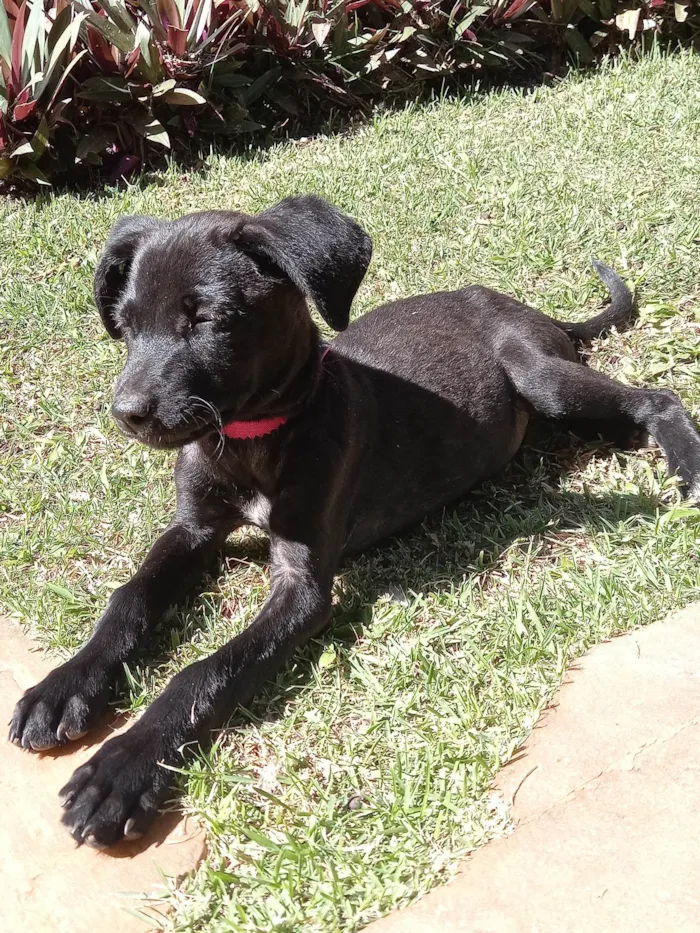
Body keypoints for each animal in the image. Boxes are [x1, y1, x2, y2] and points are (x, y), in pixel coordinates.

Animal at [9, 195, 700, 844]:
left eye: (205, 319)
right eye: (124, 326)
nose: (127, 413)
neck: (253, 438)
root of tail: (528, 308)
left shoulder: (303, 586)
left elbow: (205, 670)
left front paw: (124, 765)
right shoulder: (193, 530)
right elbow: (130, 597)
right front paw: (65, 684)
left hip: (542, 377)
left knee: (657, 398)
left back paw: (687, 465)